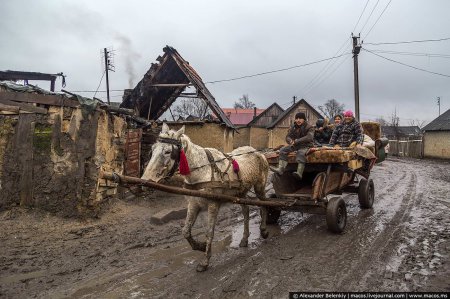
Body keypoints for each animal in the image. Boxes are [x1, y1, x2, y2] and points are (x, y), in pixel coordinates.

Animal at [142, 123, 268, 274]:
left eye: (167, 151)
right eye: (152, 149)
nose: (145, 179)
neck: (202, 171)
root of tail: (257, 152)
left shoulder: (213, 205)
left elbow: (209, 232)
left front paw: (205, 261)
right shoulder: (193, 204)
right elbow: (185, 231)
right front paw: (200, 246)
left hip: (260, 187)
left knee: (264, 204)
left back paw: (264, 230)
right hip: (241, 193)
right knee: (246, 211)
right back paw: (244, 239)